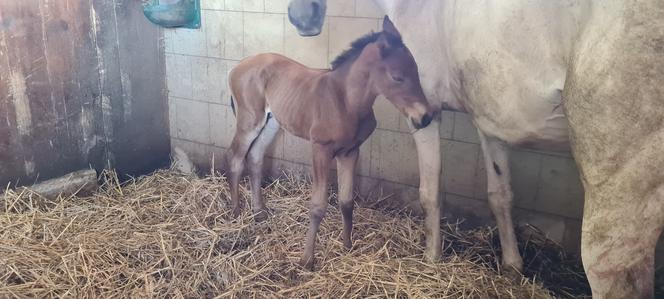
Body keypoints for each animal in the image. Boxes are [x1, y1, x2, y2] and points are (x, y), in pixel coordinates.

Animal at [228, 16, 436, 270]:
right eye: (397, 77)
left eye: (416, 71)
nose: (425, 118)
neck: (345, 101)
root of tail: (239, 65)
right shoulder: (320, 149)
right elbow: (318, 206)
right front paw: (307, 260)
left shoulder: (350, 151)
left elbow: (346, 201)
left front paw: (347, 245)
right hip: (249, 120)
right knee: (236, 158)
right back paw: (236, 212)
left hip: (272, 122)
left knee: (255, 157)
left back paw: (259, 212)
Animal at [290, 1, 664, 298]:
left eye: (403, 76)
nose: (300, 17)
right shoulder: (490, 125)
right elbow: (500, 195)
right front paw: (512, 267)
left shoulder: (425, 116)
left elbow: (430, 193)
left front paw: (431, 259)